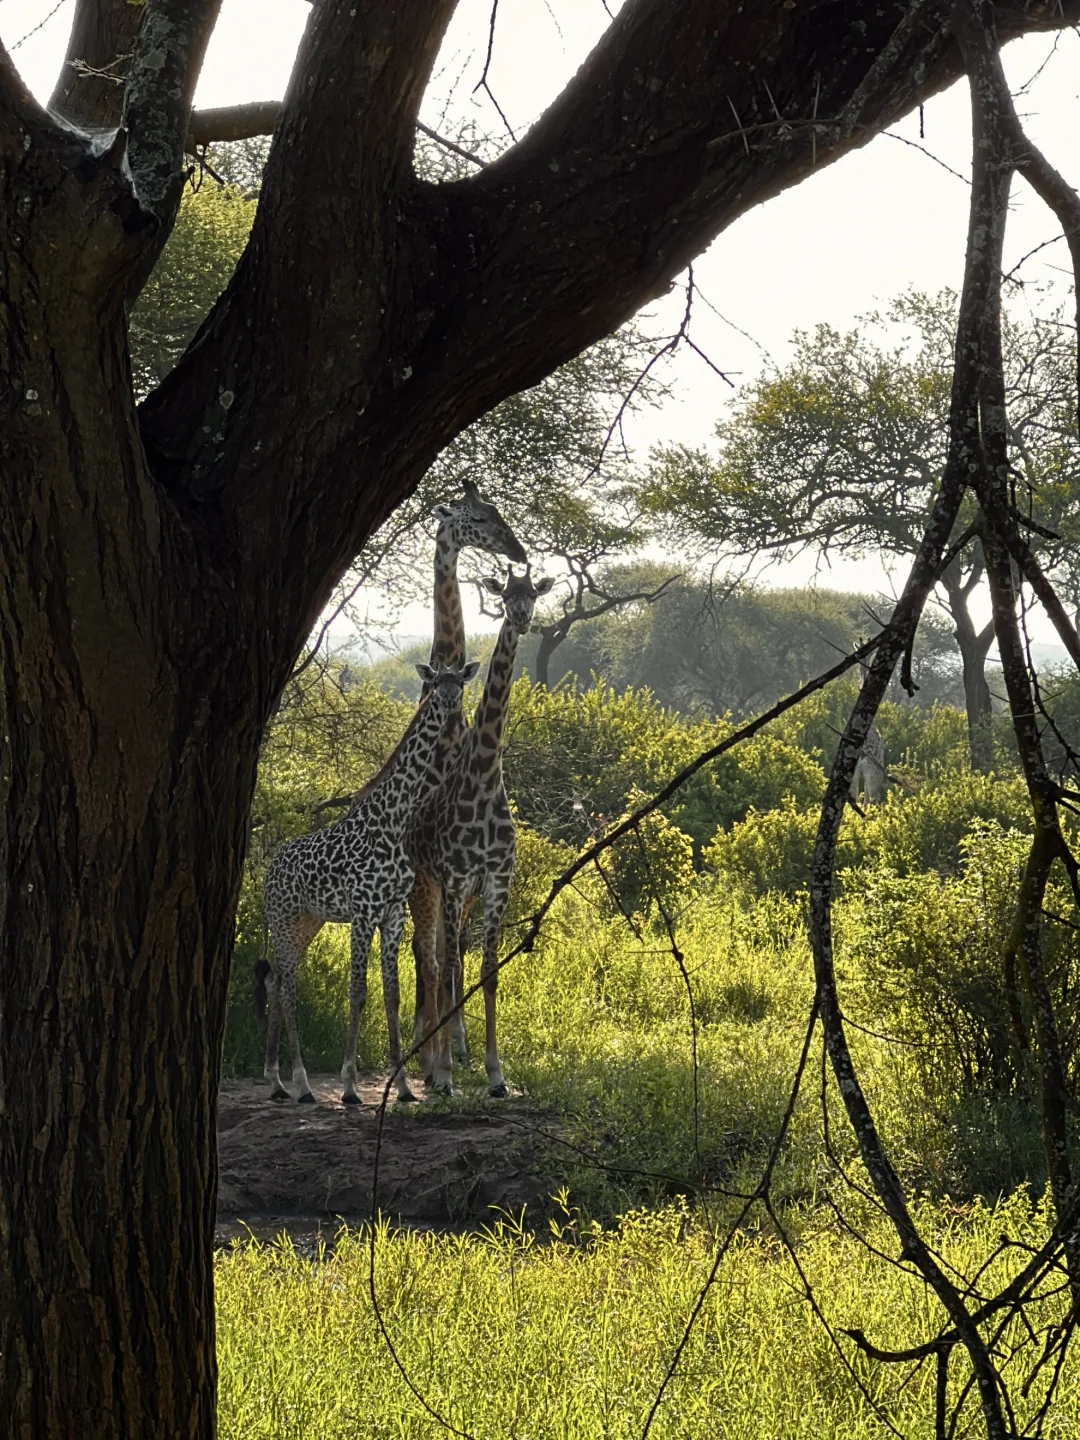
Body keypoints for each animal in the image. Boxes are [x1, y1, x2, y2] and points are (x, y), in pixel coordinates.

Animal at [256, 659, 480, 1100]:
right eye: (436, 682)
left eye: (459, 682)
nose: (448, 701)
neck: (393, 819)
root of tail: (271, 868)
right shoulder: (362, 912)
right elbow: (358, 991)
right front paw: (349, 1084)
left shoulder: (392, 914)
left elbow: (392, 994)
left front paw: (405, 1086)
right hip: (284, 919)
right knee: (286, 984)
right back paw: (302, 1082)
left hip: (308, 921)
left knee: (275, 980)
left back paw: (276, 1080)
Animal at [408, 567, 552, 1094]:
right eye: (506, 595)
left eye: (534, 594)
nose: (522, 618)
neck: (487, 773)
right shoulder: (453, 879)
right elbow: (450, 965)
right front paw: (446, 1071)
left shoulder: (495, 882)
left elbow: (488, 971)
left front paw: (495, 1072)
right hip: (424, 886)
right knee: (430, 959)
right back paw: (430, 1063)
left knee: (441, 955)